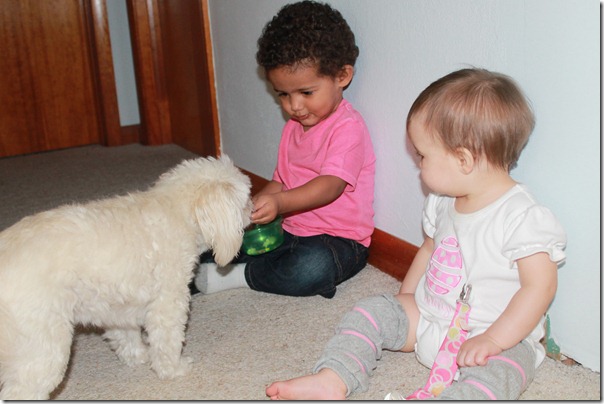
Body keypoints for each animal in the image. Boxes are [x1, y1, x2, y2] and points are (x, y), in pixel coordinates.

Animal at [0, 155, 251, 400]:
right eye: (246, 200)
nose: (253, 208)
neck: (176, 212)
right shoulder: (168, 304)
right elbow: (167, 342)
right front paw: (174, 368)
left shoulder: (118, 305)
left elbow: (126, 336)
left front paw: (139, 355)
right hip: (43, 349)